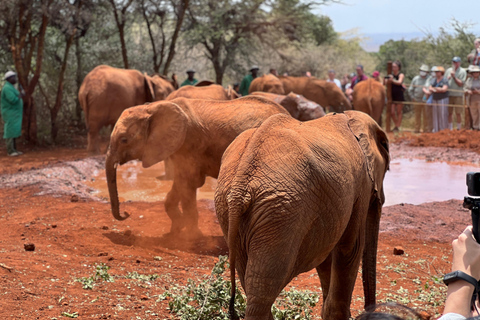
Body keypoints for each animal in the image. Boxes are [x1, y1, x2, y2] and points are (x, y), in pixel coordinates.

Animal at [105, 95, 288, 238]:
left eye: (124, 140)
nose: (126, 214)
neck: (151, 107)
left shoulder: (188, 143)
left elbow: (188, 184)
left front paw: (193, 236)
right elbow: (180, 185)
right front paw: (174, 233)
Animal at [216, 110, 388, 320]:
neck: (350, 117)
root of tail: (241, 182)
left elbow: (327, 256)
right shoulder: (361, 184)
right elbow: (349, 248)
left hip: (233, 209)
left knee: (249, 280)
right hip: (281, 211)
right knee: (264, 285)